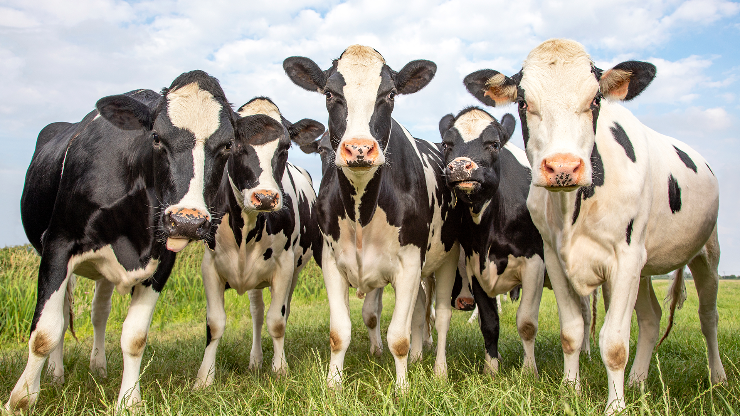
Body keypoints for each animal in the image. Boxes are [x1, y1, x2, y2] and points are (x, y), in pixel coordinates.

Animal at [7, 71, 237, 413]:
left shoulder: (161, 260)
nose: (187, 221)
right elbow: (45, 331)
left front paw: (129, 401)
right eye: (156, 137)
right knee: (63, 314)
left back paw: (99, 367)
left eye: (227, 145)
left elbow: (135, 336)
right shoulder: (58, 244)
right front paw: (21, 399)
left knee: (98, 312)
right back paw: (56, 375)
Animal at [192, 97, 324, 387]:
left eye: (285, 147)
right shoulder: (210, 265)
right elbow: (215, 323)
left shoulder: (285, 265)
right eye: (232, 144)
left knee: (277, 311)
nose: (265, 197)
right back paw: (255, 360)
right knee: (256, 313)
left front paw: (280, 368)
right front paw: (204, 378)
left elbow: (277, 320)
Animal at [283, 45, 461, 390]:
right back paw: (419, 357)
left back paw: (439, 370)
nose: (359, 149)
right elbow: (339, 333)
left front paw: (402, 389)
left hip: (447, 257)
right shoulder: (331, 261)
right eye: (329, 93)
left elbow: (399, 337)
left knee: (442, 315)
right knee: (420, 309)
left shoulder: (410, 263)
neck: (361, 212)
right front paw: (334, 386)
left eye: (390, 94)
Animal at [464, 38, 726, 414]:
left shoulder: (625, 258)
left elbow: (614, 343)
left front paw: (614, 406)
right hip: (645, 268)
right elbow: (571, 331)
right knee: (651, 318)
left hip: (707, 254)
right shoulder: (555, 258)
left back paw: (717, 377)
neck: (572, 208)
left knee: (708, 316)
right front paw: (568, 391)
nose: (562, 167)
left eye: (595, 100)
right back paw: (638, 380)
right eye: (524, 102)